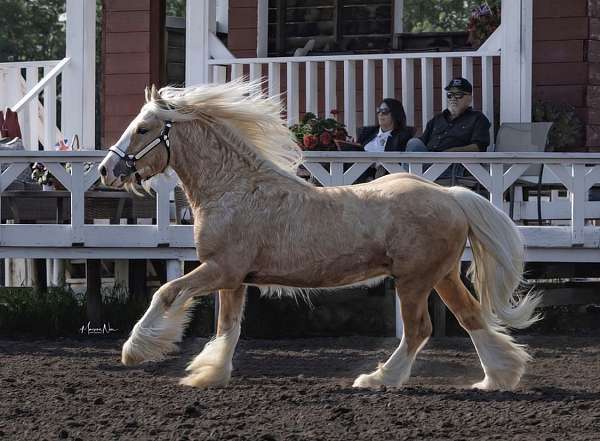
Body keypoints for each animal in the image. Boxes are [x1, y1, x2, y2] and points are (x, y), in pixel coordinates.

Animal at [98, 81, 540, 390]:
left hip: (414, 280)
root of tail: (450, 195)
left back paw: (378, 379)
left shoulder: (220, 269)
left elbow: (166, 292)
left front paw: (135, 350)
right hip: (442, 276)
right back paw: (497, 378)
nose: (107, 170)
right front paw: (209, 374)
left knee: (419, 331)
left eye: (143, 129)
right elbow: (227, 329)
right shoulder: (235, 280)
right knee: (471, 317)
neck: (234, 189)